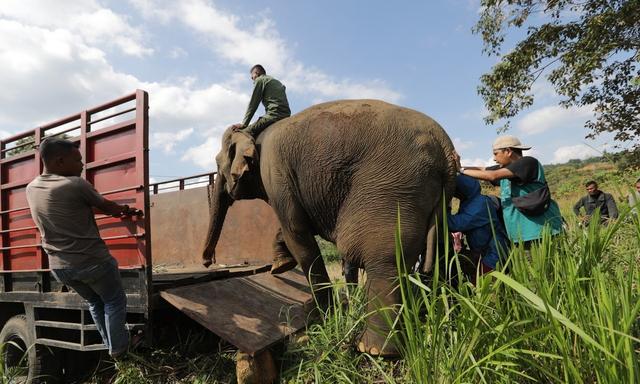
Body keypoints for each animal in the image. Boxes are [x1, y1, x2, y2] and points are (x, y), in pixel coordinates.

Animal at [202, 99, 458, 356]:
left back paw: (373, 350)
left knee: (384, 261)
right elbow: (290, 228)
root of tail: (445, 148)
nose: (206, 262)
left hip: (393, 191)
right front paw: (281, 266)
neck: (254, 135)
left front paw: (320, 315)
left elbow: (296, 232)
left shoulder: (275, 172)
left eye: (217, 163)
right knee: (431, 254)